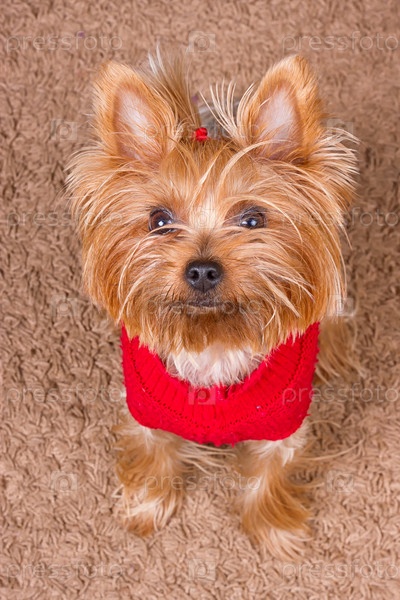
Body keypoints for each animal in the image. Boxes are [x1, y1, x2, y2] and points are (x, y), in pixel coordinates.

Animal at [67, 51, 357, 558]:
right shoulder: (145, 409)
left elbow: (270, 471)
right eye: (159, 220)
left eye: (253, 219)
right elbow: (154, 454)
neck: (213, 338)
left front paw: (275, 531)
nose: (202, 269)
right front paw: (146, 508)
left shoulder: (282, 421)